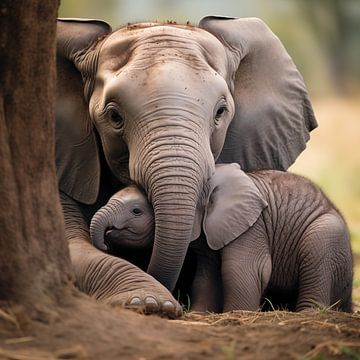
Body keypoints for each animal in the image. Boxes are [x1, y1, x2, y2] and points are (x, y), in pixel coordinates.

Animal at [55, 15, 316, 316]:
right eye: (114, 116)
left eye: (220, 112)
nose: (108, 239)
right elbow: (73, 247)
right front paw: (150, 304)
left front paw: (153, 305)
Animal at [90, 164, 352, 312]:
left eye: (137, 211)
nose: (105, 242)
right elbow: (207, 275)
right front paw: (198, 315)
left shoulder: (251, 226)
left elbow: (241, 269)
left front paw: (236, 315)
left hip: (327, 234)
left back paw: (308, 313)